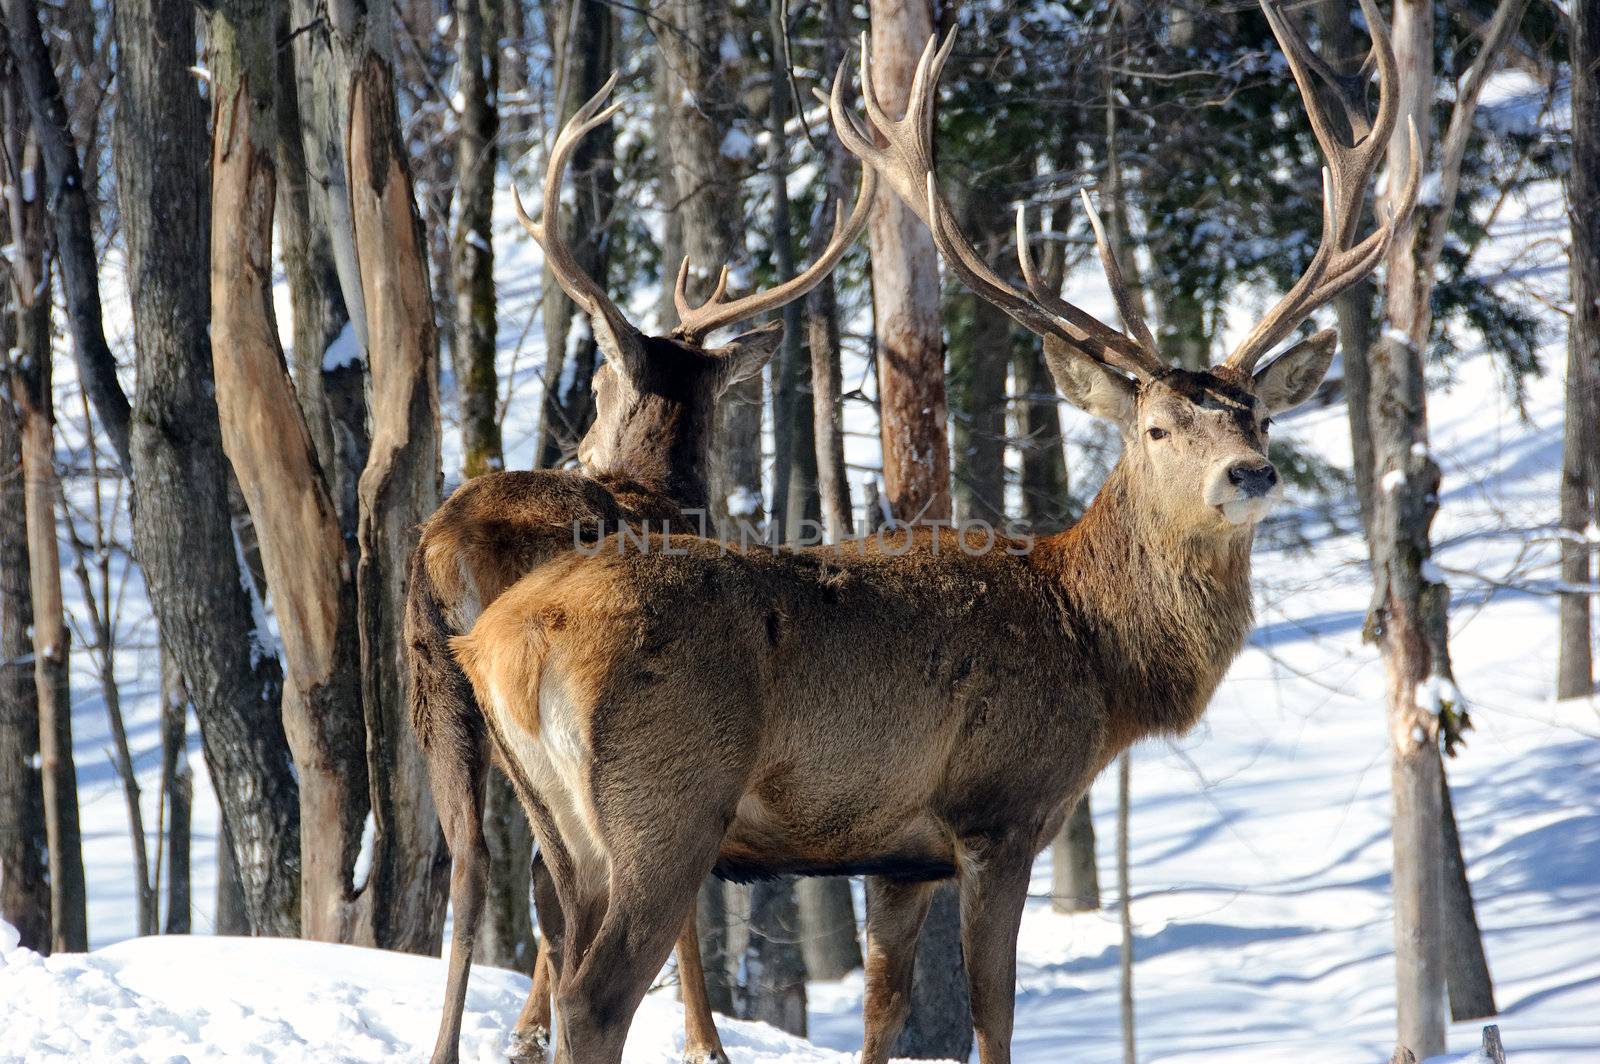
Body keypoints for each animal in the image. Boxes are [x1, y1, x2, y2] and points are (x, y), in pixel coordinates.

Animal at [403, 74, 876, 1062]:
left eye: (596, 385)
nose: (579, 443)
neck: (662, 493)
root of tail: (446, 547)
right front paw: (704, 1040)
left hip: (434, 691)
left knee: (473, 866)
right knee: (548, 888)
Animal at [448, 4, 1414, 1056]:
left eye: (1260, 417)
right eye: (1158, 428)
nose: (1251, 473)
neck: (1099, 654)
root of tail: (503, 640)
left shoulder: (895, 857)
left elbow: (885, 1012)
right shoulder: (1000, 809)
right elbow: (993, 1013)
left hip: (557, 824)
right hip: (664, 808)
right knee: (595, 994)